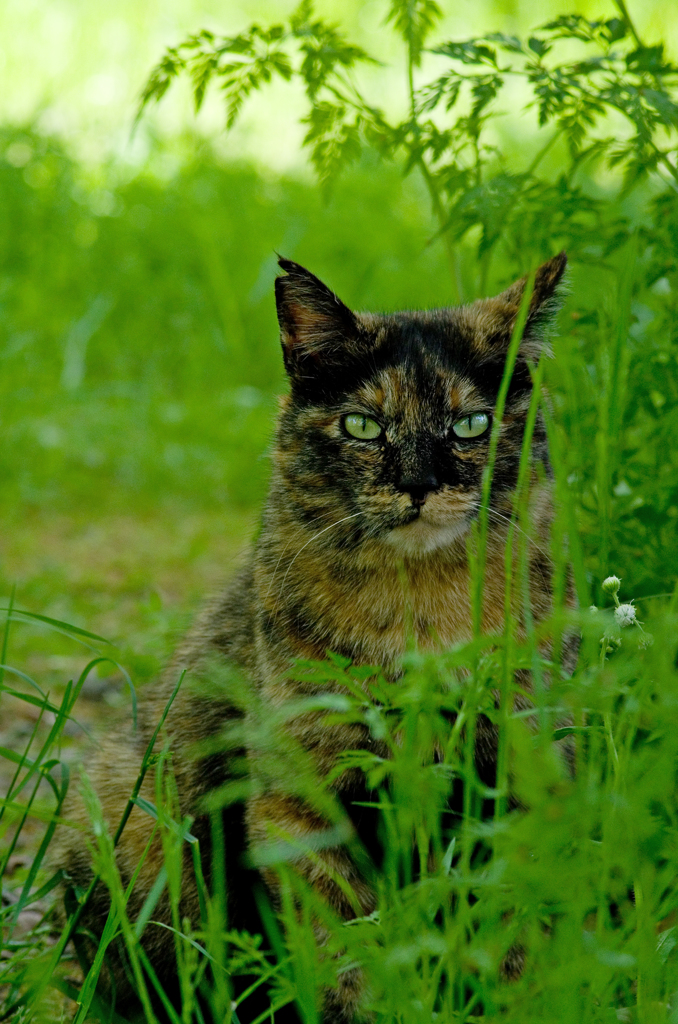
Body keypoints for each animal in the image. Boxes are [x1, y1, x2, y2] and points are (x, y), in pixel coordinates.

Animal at [57, 249, 577, 1024]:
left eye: (470, 424)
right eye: (362, 425)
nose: (418, 483)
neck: (422, 615)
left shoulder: (518, 771)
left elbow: (507, 931)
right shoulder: (302, 797)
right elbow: (343, 951)